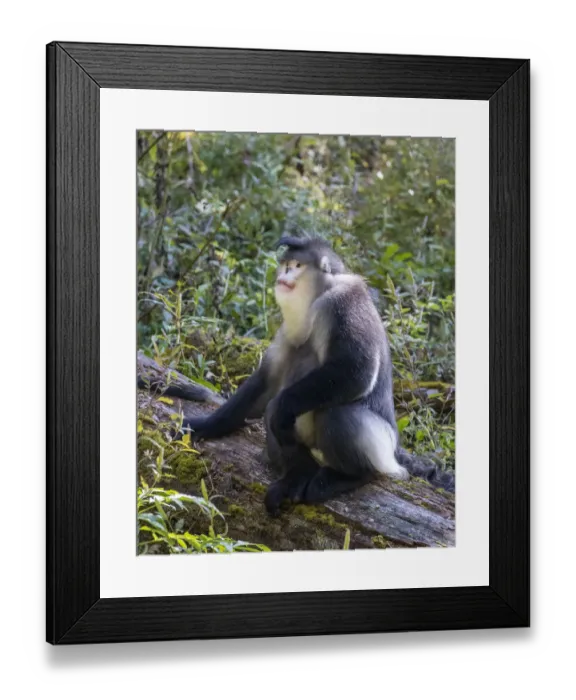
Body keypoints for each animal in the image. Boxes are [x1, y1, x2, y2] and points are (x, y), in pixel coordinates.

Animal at [149, 235, 455, 515]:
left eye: (297, 266)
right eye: (285, 265)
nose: (285, 275)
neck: (316, 296)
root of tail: (395, 451)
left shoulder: (342, 303)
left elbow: (356, 370)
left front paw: (282, 409)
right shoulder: (288, 329)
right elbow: (267, 382)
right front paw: (206, 425)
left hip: (380, 447)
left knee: (331, 412)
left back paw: (349, 476)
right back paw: (298, 475)